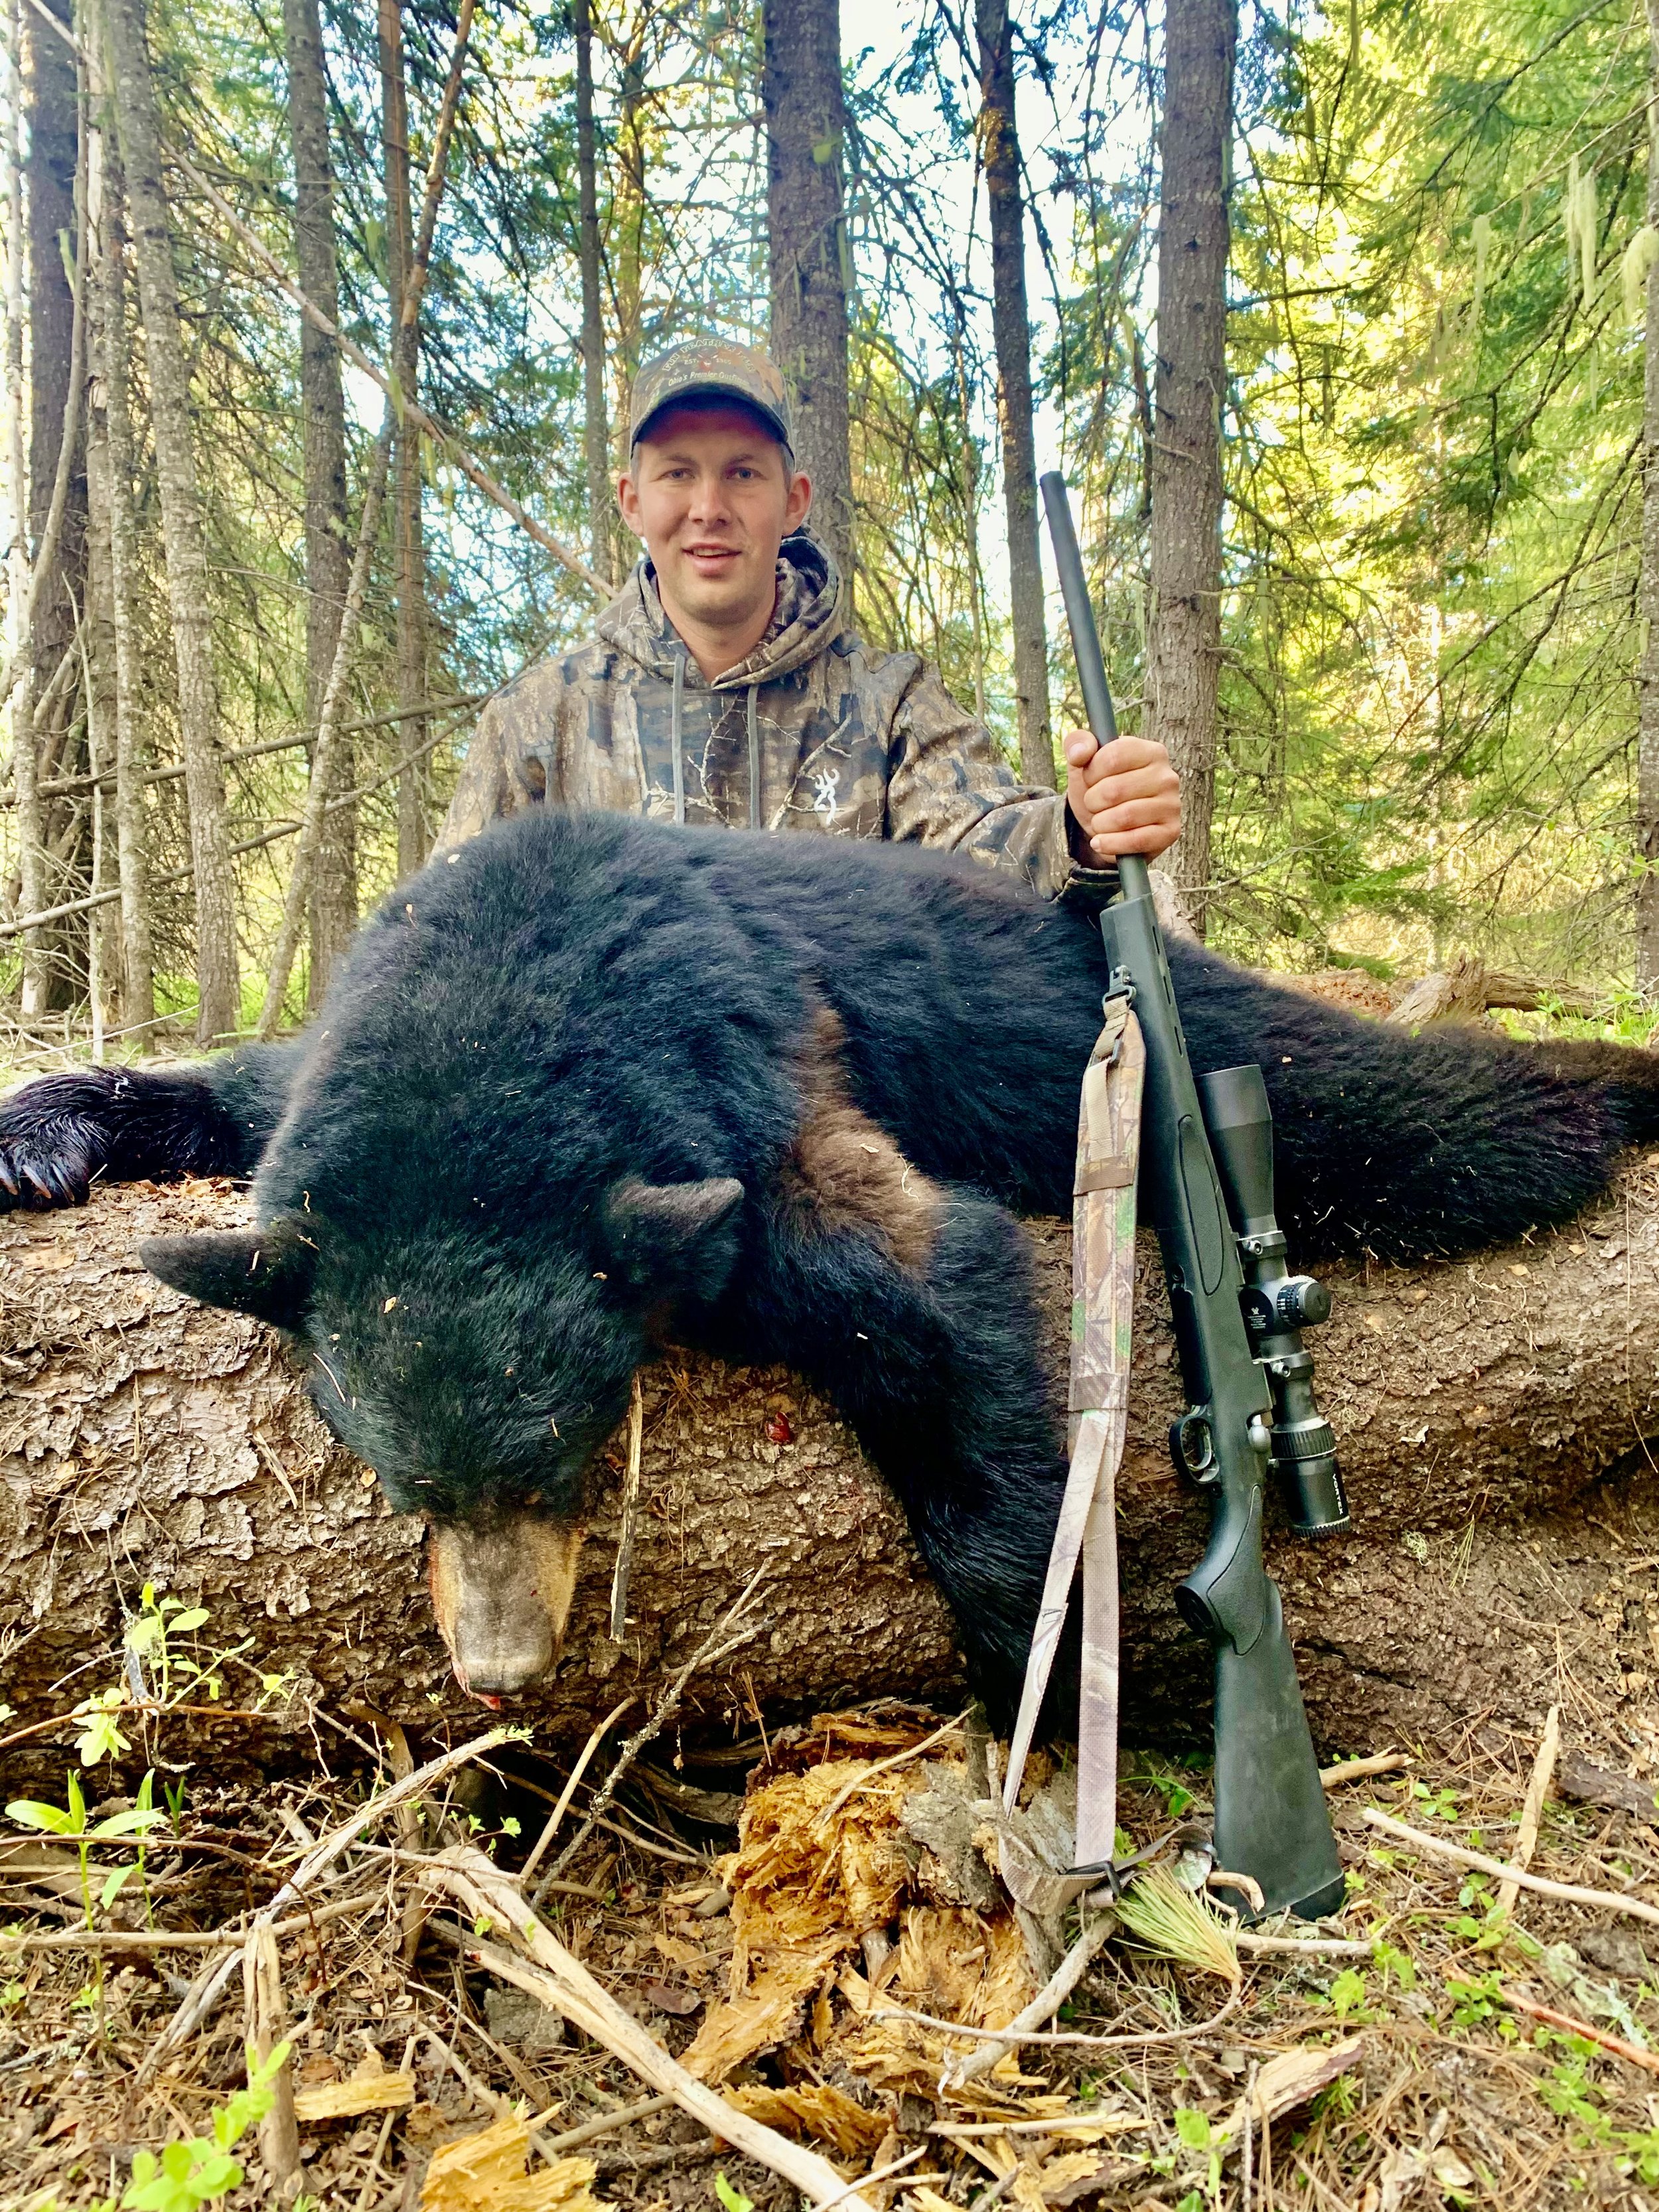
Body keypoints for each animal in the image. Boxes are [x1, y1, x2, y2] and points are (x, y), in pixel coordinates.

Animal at [3, 809, 1657, 1707]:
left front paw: (1057, 1650)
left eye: (566, 1456)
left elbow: (917, 1282)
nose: (502, 1669)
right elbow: (231, 1086)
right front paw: (44, 1129)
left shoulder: (750, 1074)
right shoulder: (340, 1089)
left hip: (1176, 1049)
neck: (507, 981)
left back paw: (1612, 1084)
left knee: (1413, 1116)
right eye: (408, 1487)